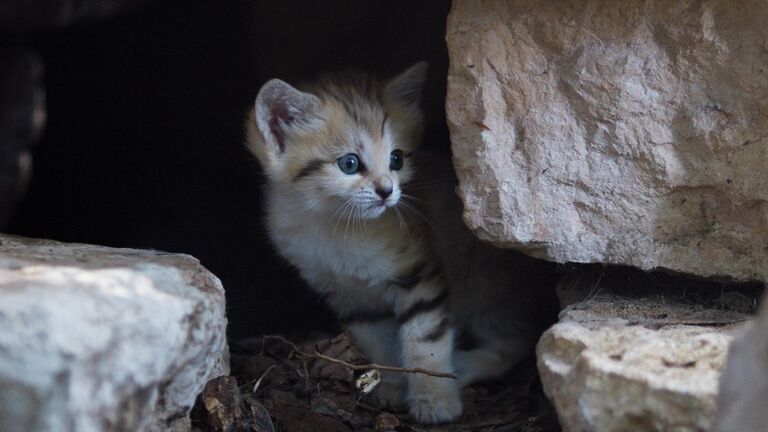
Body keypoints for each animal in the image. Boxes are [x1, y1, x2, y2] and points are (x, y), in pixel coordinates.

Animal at [243, 62, 556, 424]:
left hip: (487, 286)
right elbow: (380, 343)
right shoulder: (350, 298)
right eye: (349, 163)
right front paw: (390, 386)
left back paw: (463, 367)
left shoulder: (420, 278)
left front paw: (434, 400)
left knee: (518, 340)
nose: (387, 191)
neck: (334, 226)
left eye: (396, 159)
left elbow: (425, 343)